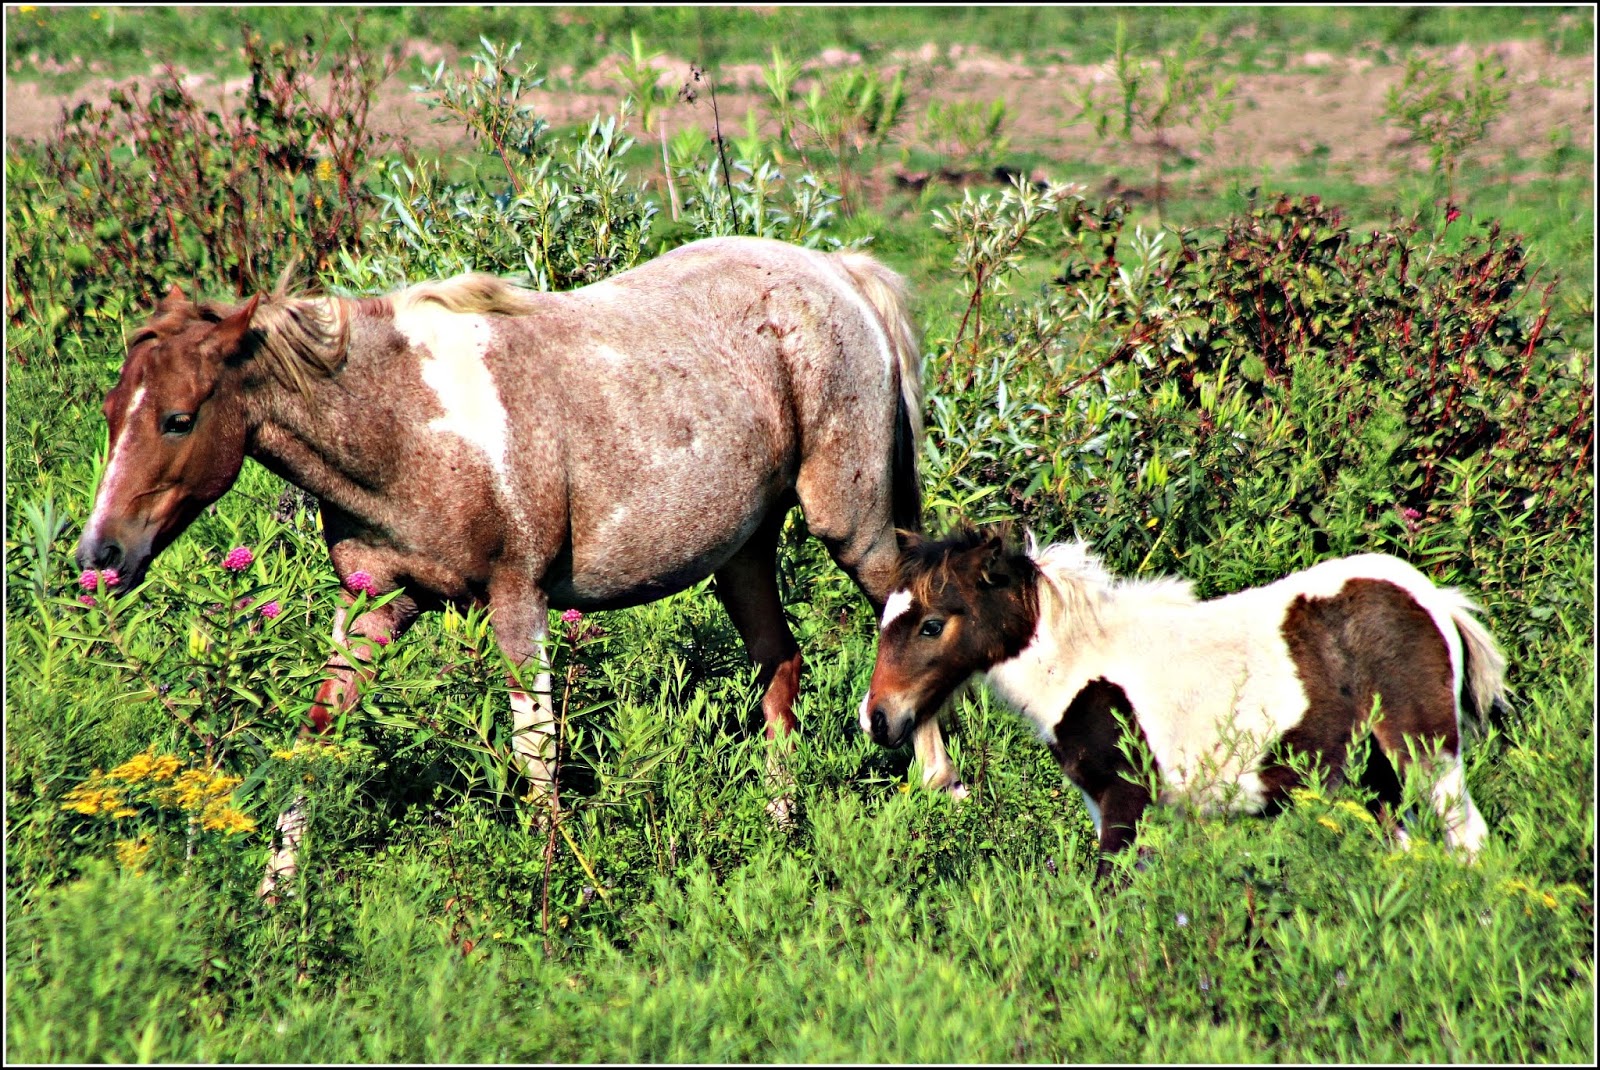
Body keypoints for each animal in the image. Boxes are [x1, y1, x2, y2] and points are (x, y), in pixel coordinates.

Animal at [76, 235, 970, 892]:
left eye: (179, 418)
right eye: (113, 411)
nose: (99, 557)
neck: (408, 427)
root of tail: (838, 270)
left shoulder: (518, 600)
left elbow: (536, 749)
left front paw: (555, 888)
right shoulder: (374, 606)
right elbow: (318, 731)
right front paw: (278, 890)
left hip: (851, 527)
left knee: (906, 618)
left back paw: (942, 792)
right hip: (743, 552)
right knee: (779, 664)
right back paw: (782, 825)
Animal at [859, 527, 1507, 880]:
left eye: (931, 625)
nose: (877, 718)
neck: (1079, 665)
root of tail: (1434, 598)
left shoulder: (1128, 796)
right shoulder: (1108, 804)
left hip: (1426, 753)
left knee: (1469, 840)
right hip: (1378, 778)